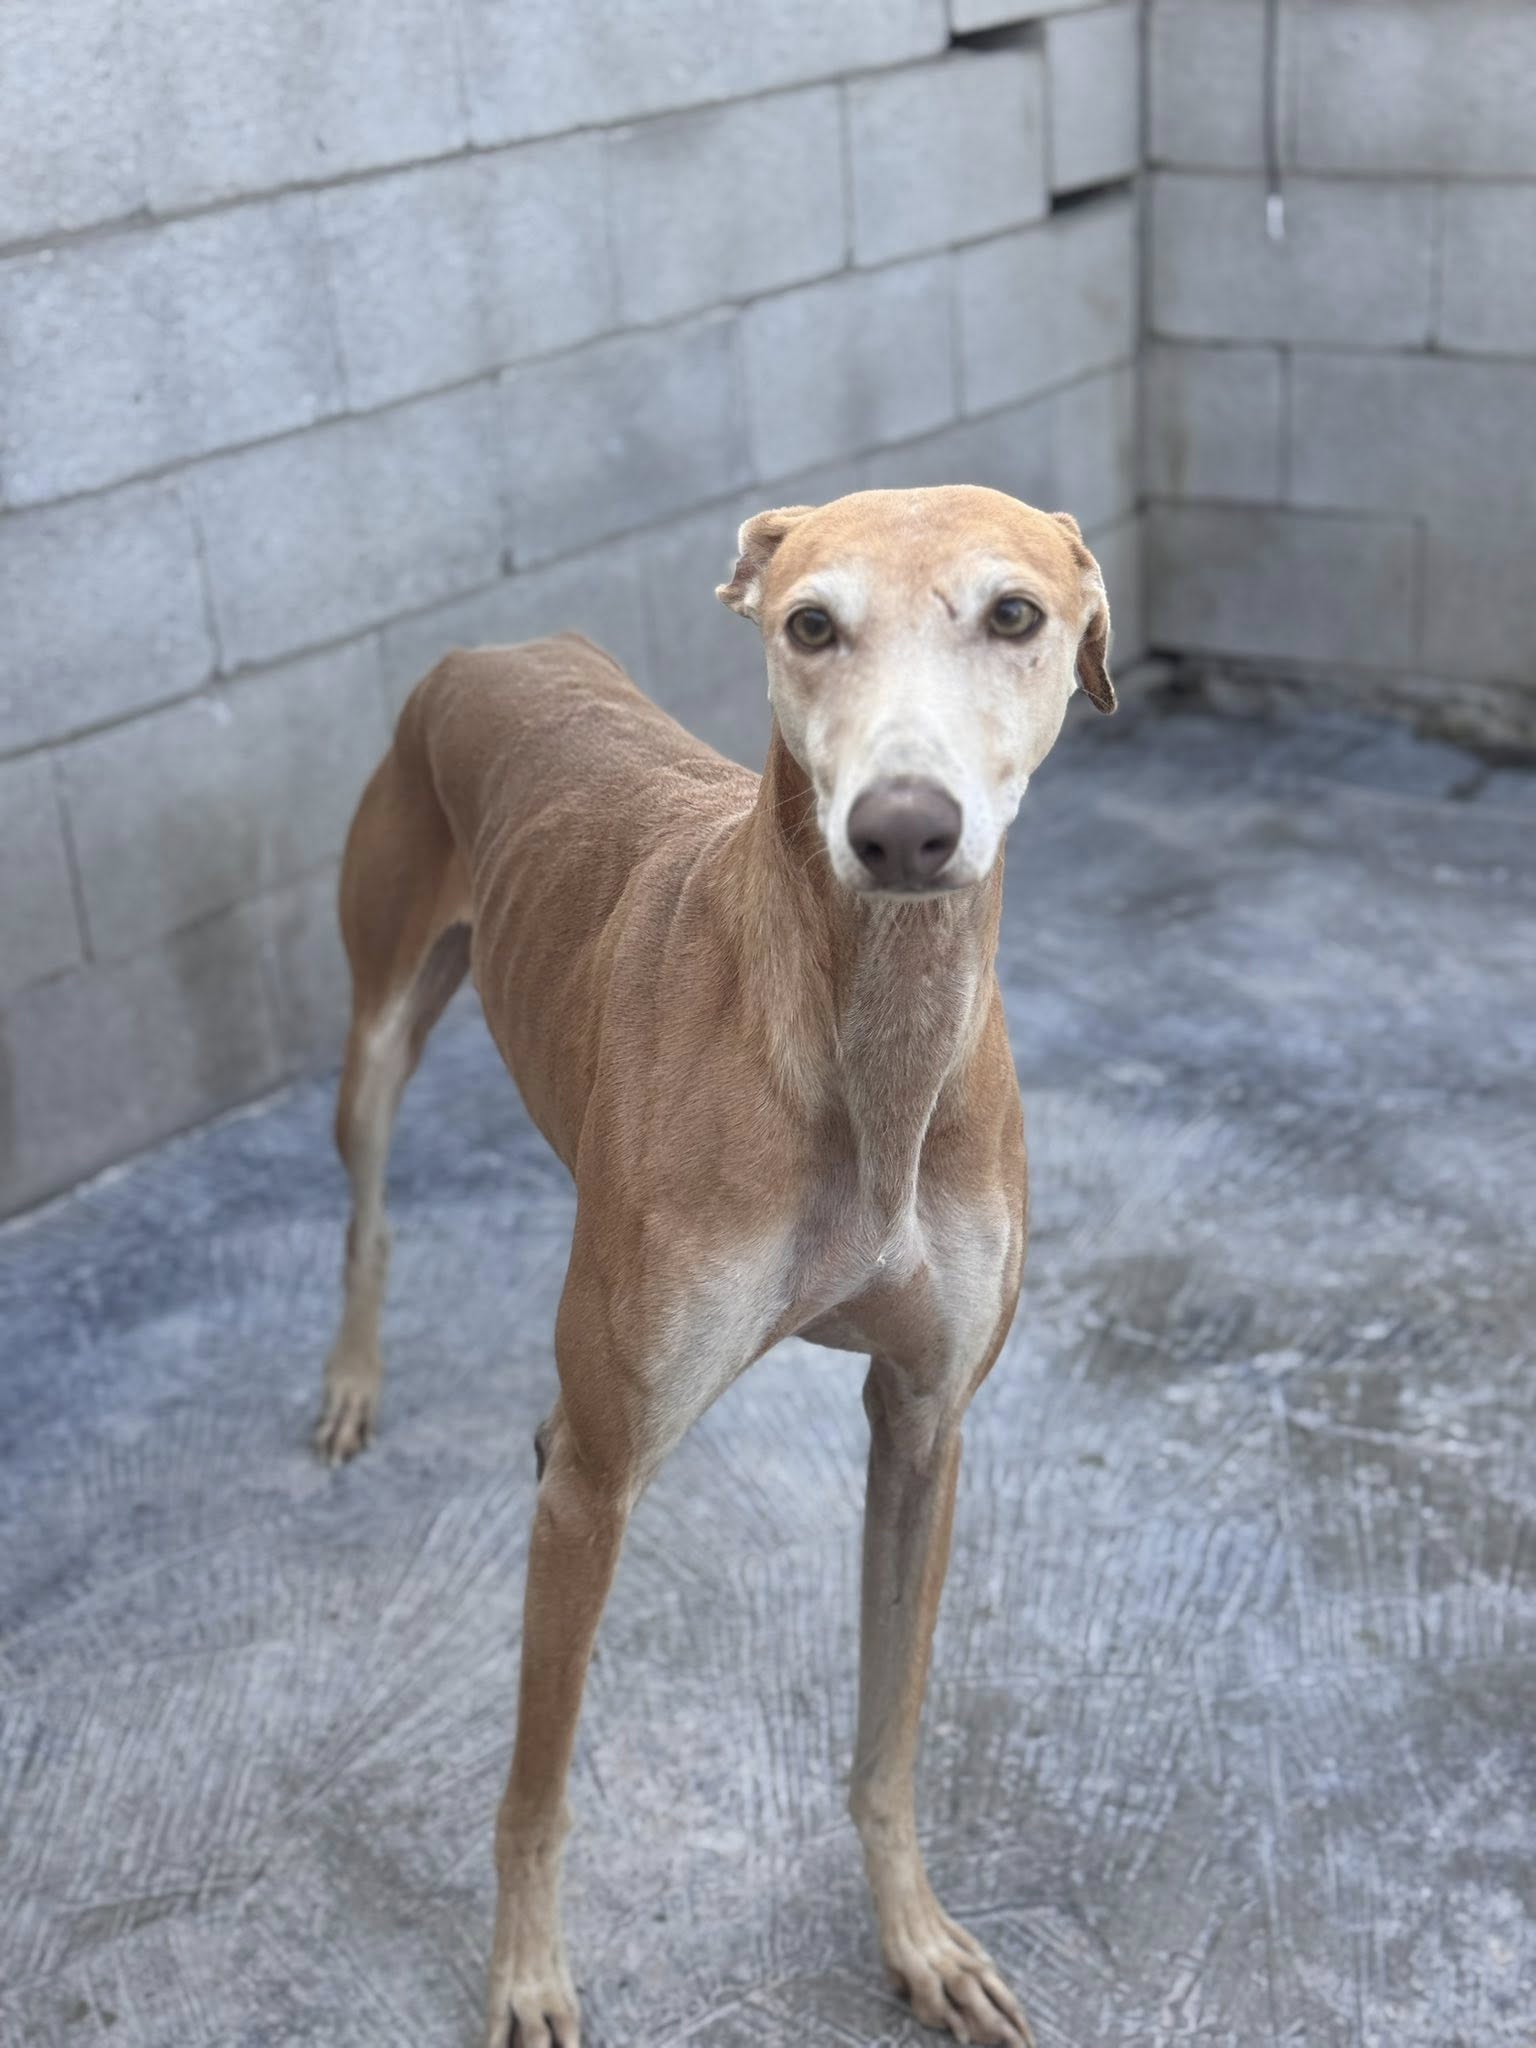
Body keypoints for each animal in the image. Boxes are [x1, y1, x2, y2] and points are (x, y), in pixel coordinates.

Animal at [314, 485, 1116, 2047]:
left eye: (1017, 614)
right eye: (811, 623)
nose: (904, 831)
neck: (863, 1045)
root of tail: (499, 645)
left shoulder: (924, 1424)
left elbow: (887, 1738)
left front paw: (916, 1940)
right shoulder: (597, 1481)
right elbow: (535, 1785)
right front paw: (526, 1974)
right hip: (379, 1020)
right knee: (368, 1207)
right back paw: (352, 1381)